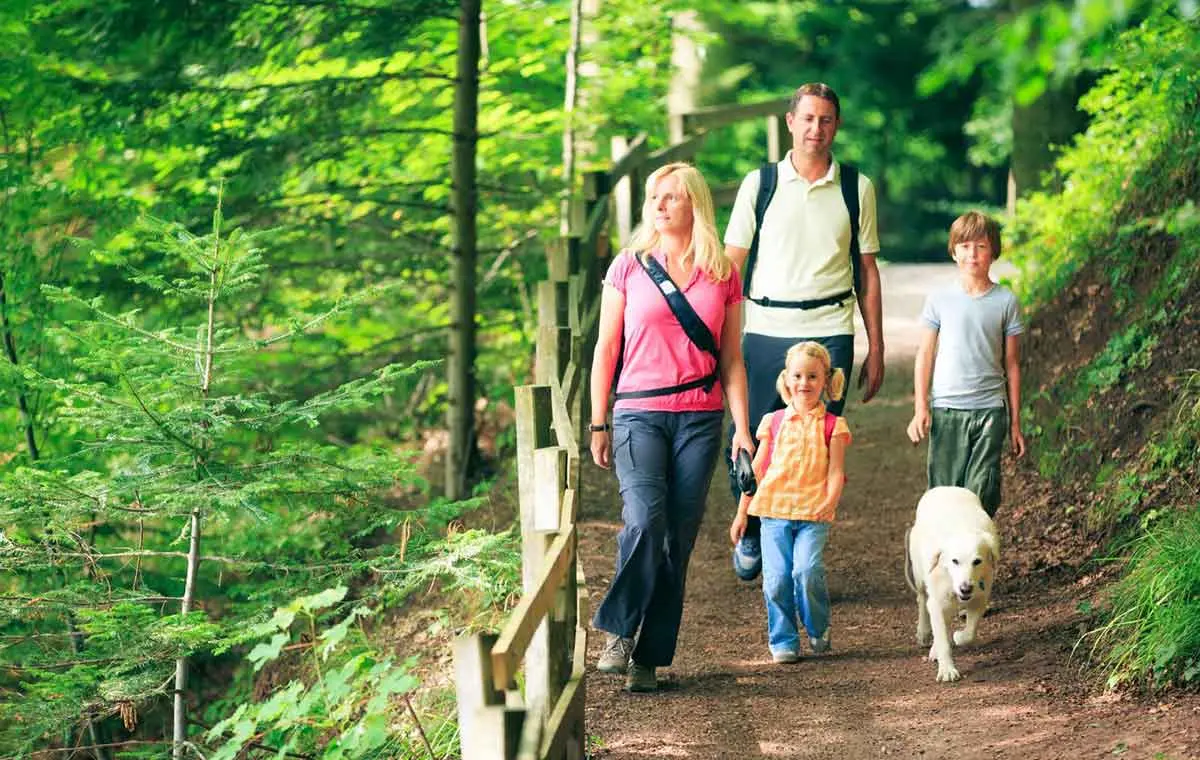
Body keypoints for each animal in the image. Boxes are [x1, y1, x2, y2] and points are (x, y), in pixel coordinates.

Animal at [902, 485, 998, 681]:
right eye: (955, 561)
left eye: (977, 561)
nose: (965, 588)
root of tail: (945, 487)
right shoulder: (937, 602)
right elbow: (942, 639)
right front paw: (947, 670)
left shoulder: (979, 598)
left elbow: (969, 633)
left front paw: (959, 637)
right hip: (920, 576)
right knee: (922, 600)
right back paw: (923, 633)